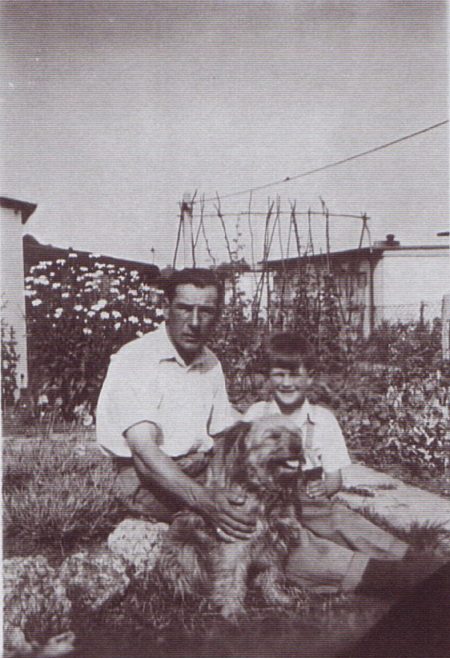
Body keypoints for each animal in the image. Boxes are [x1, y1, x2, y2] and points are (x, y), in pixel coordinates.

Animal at [156, 418, 306, 616]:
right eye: (274, 436)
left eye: (297, 434)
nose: (298, 447)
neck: (264, 492)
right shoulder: (234, 544)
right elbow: (232, 576)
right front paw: (233, 610)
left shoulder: (276, 541)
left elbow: (273, 572)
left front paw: (277, 598)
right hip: (186, 554)